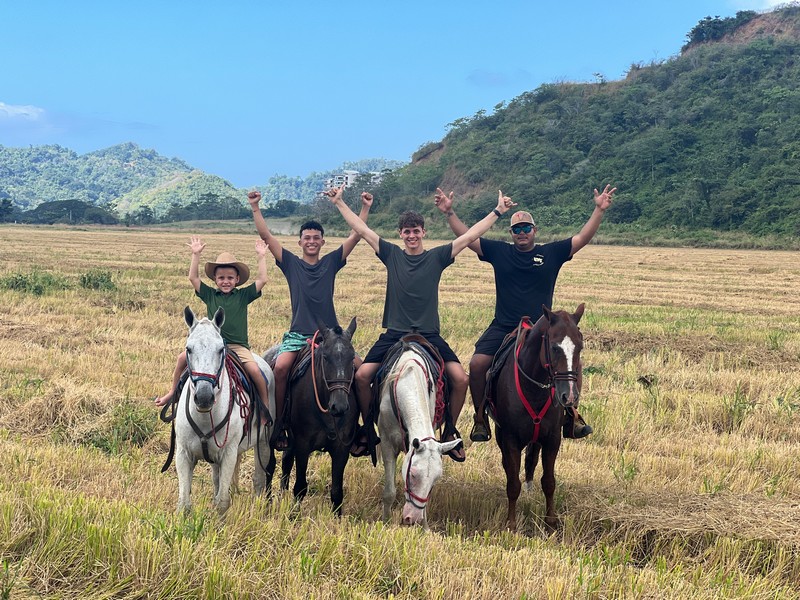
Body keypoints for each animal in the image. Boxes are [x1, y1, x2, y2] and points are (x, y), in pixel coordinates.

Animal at [173, 308, 276, 512]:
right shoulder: (183, 455)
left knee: (259, 480)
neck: (205, 417)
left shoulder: (228, 454)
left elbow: (222, 502)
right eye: (188, 349)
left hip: (263, 443)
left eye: (221, 349)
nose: (204, 397)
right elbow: (184, 503)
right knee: (216, 481)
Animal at [376, 344, 460, 528]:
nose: (412, 519)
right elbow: (389, 492)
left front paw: (425, 528)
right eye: (413, 474)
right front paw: (385, 523)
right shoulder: (387, 443)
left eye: (436, 479)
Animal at [490, 304, 584, 528]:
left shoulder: (552, 439)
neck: (534, 390)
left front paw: (551, 522)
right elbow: (513, 483)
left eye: (580, 347)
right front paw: (511, 524)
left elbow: (549, 482)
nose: (569, 396)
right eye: (555, 347)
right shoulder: (510, 439)